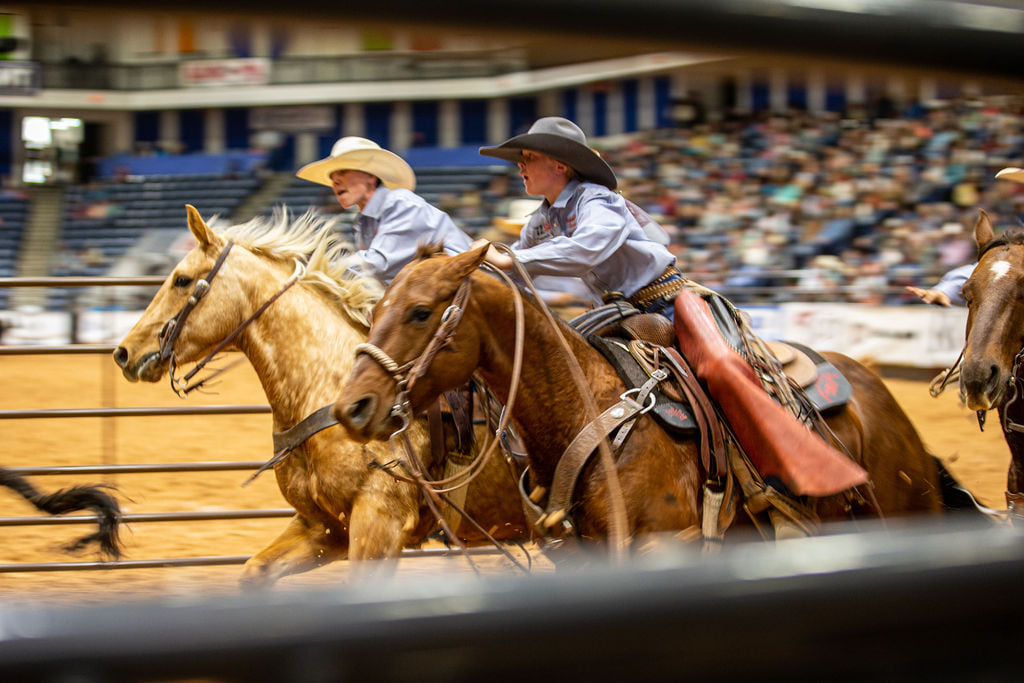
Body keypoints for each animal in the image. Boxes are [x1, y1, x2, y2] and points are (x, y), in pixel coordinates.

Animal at [113, 208, 528, 589]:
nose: (123, 352)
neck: (326, 391)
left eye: (181, 280)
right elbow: (255, 571)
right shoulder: (325, 527)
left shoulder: (379, 522)